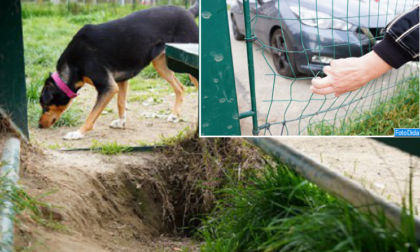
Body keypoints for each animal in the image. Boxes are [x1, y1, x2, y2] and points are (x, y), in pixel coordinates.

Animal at [38, 2, 199, 140]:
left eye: (45, 106)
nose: (39, 126)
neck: (74, 63)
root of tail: (188, 12)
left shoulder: (108, 87)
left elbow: (92, 115)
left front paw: (78, 133)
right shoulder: (121, 80)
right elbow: (121, 102)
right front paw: (121, 123)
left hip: (191, 64)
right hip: (161, 64)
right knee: (180, 87)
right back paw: (175, 115)